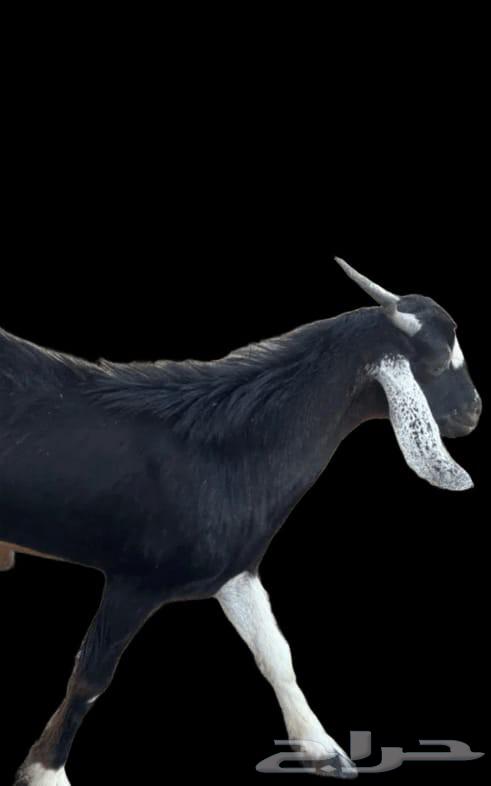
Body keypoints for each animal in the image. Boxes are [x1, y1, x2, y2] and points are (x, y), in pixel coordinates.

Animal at [1, 260, 482, 784]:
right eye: (435, 362)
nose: (474, 412)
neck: (230, 447)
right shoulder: (135, 580)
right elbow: (90, 676)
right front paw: (46, 771)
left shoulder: (236, 570)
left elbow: (276, 653)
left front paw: (323, 750)